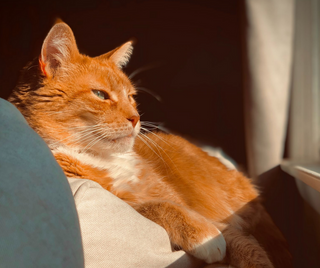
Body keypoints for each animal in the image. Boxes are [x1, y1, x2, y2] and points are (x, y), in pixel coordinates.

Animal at [9, 22, 290, 266]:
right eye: (100, 94)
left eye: (131, 97)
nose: (135, 118)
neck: (103, 159)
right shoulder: (126, 202)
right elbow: (155, 206)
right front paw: (206, 237)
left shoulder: (212, 216)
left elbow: (245, 246)